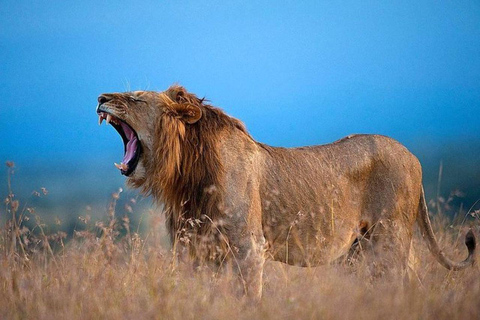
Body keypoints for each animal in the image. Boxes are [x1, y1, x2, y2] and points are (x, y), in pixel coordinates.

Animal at [96, 85, 476, 300]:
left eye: (134, 98)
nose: (100, 98)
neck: (185, 174)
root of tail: (413, 156)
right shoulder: (197, 251)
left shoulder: (249, 249)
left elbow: (249, 299)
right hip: (362, 250)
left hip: (389, 241)